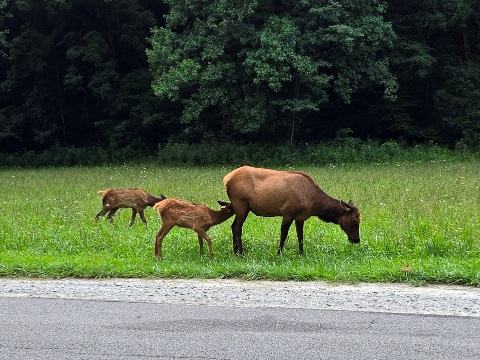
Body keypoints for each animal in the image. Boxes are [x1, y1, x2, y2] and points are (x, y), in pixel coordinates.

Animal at [223, 166, 358, 256]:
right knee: (237, 227)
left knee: (233, 225)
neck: (313, 204)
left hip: (240, 207)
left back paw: (235, 251)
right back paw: (241, 252)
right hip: (241, 204)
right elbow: (284, 234)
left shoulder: (300, 217)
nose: (357, 240)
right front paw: (279, 253)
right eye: (354, 221)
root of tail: (226, 179)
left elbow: (300, 235)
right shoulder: (288, 213)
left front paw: (301, 253)